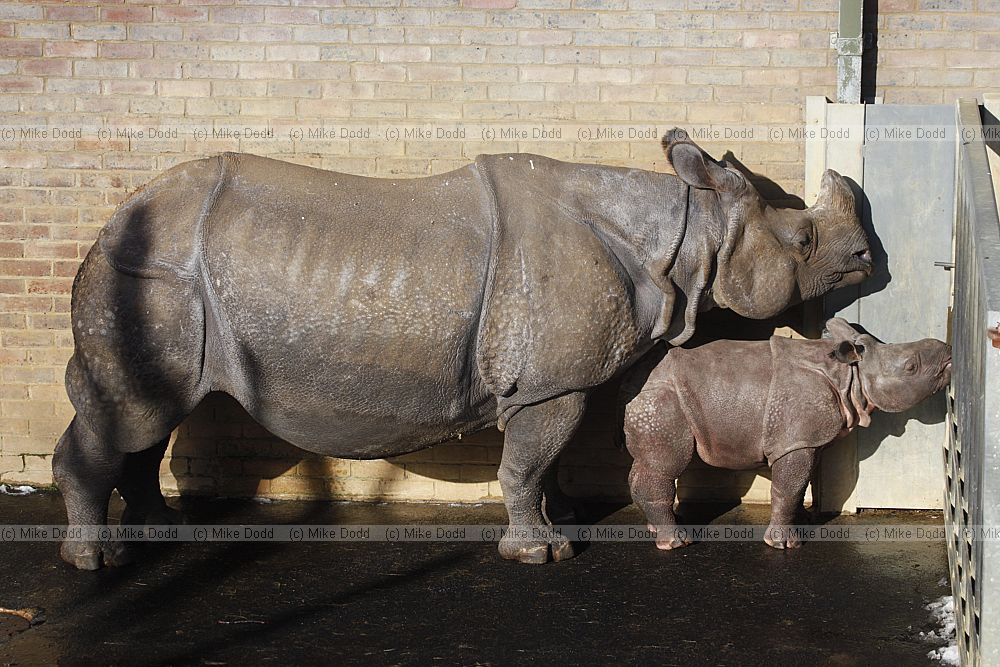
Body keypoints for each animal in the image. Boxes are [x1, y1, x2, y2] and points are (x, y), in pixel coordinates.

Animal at [53, 130, 872, 569]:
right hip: (153, 271)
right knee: (133, 413)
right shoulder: (553, 383)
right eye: (802, 239)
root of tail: (109, 220)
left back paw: (161, 533)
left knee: (151, 417)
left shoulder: (549, 380)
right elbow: (528, 460)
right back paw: (97, 562)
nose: (867, 257)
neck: (685, 235)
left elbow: (540, 461)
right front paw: (543, 555)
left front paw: (559, 522)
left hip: (156, 272)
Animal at [623, 318, 951, 551]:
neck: (850, 375)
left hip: (655, 402)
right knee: (665, 466)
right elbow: (789, 486)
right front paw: (785, 544)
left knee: (644, 464)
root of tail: (634, 382)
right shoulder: (795, 441)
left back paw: (657, 529)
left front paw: (803, 522)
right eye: (911, 367)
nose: (948, 351)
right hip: (663, 401)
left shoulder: (806, 438)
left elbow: (800, 483)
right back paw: (676, 542)